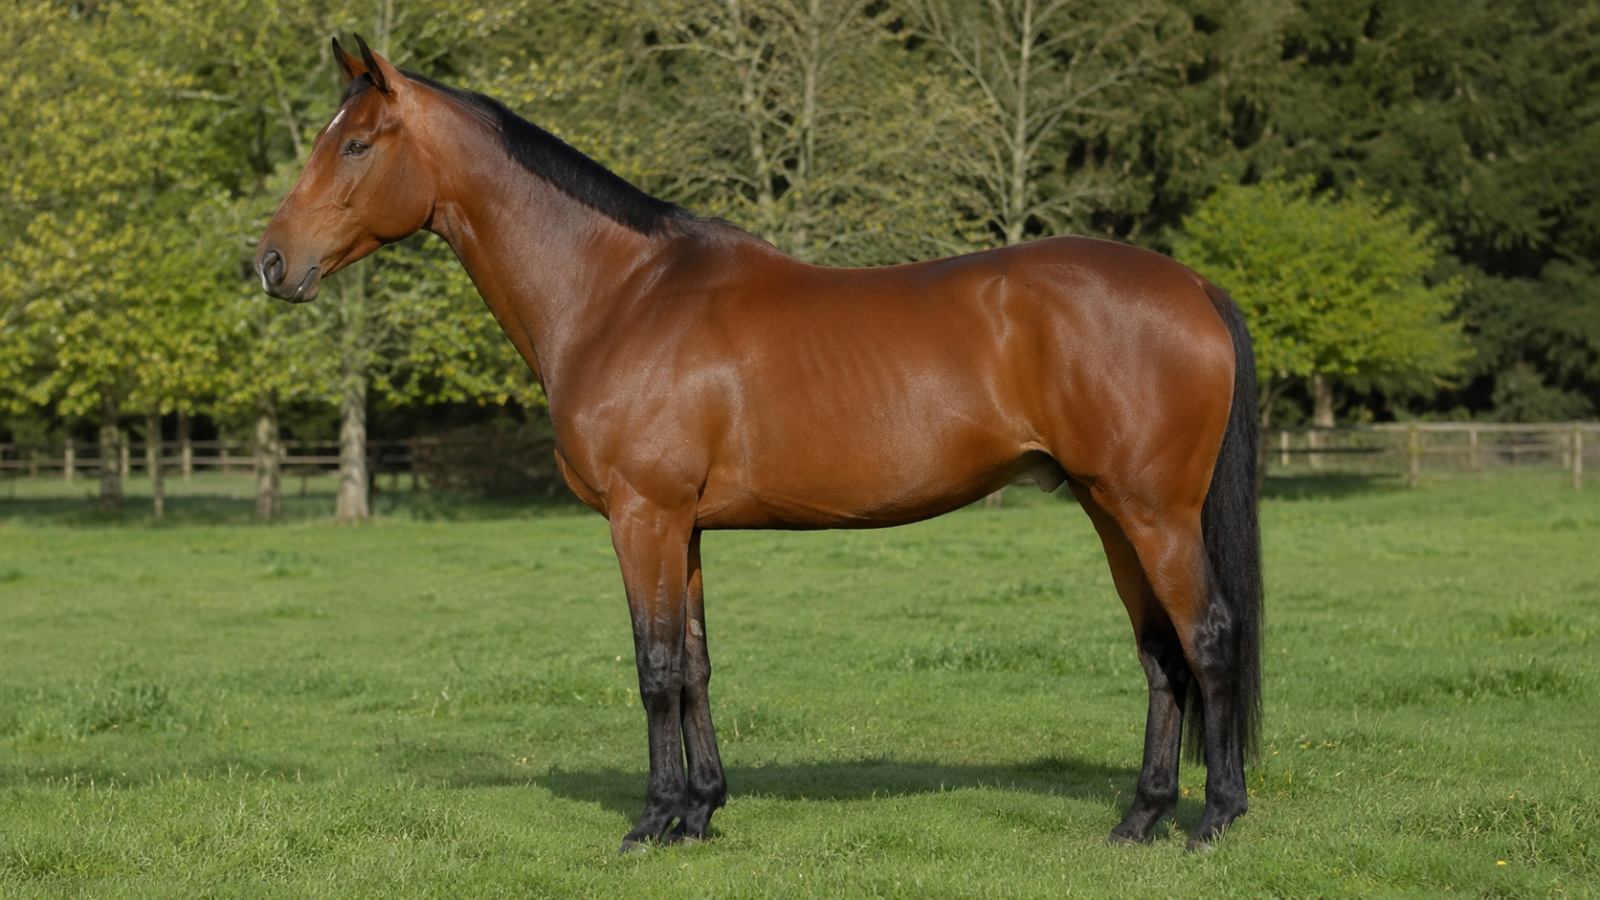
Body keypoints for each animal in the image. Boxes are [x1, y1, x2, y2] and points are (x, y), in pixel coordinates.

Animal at [256, 36, 1263, 854]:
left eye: (355, 143)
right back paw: (1139, 818)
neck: (618, 294)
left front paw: (653, 820)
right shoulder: (685, 527)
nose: (269, 262)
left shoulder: (643, 517)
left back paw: (1215, 819)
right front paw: (702, 811)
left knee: (1209, 638)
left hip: (1153, 513)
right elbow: (697, 664)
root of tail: (1193, 285)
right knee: (1160, 653)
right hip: (1110, 509)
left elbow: (655, 666)